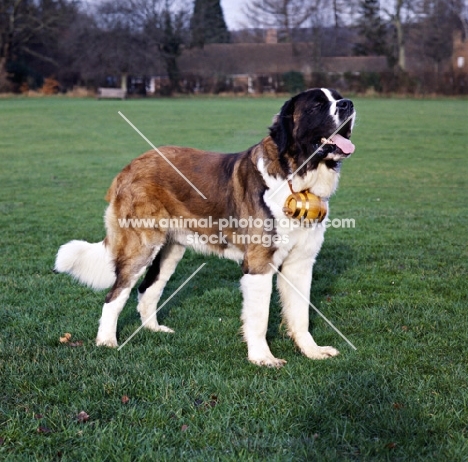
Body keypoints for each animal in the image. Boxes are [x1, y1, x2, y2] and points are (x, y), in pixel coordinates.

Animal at [54, 87, 354, 368]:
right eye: (317, 105)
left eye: (337, 97)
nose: (348, 104)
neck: (295, 175)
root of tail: (130, 166)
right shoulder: (258, 265)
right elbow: (259, 317)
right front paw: (262, 358)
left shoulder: (300, 264)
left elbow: (301, 314)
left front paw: (312, 351)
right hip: (141, 247)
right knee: (115, 294)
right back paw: (106, 341)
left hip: (170, 250)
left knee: (148, 289)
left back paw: (154, 330)